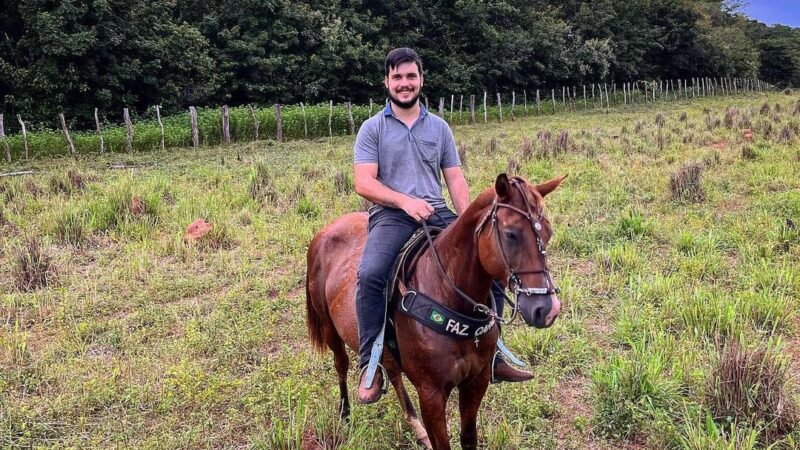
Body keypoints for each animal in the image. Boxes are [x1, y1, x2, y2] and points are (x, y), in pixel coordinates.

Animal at [304, 173, 564, 450]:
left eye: (548, 232)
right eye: (511, 234)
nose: (547, 309)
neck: (448, 296)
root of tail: (324, 233)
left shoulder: (476, 381)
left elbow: (468, 437)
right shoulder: (431, 393)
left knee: (392, 372)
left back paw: (416, 427)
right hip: (330, 329)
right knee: (341, 365)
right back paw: (346, 414)